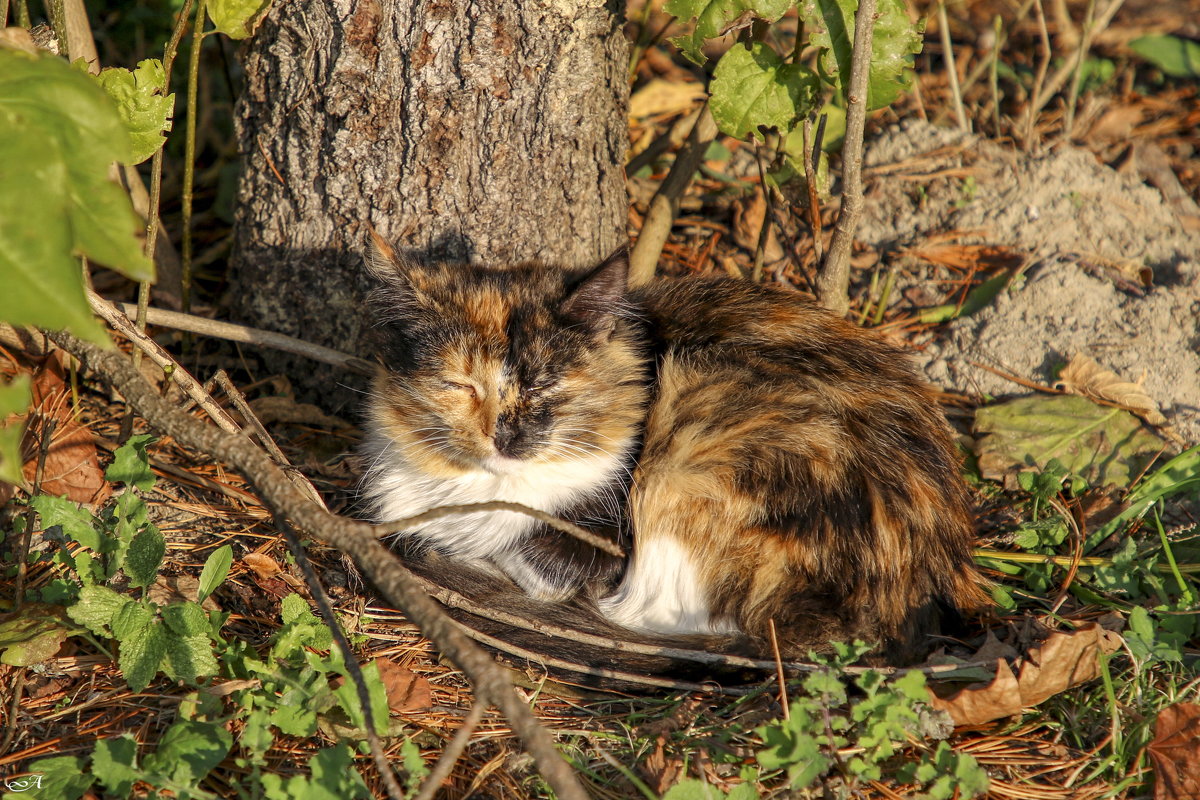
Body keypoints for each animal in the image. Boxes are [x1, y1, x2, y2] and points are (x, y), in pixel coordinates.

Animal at [357, 241, 984, 662]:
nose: (507, 437)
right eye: (461, 385)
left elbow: (534, 560)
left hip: (690, 448)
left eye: (547, 384)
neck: (488, 492)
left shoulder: (606, 537)